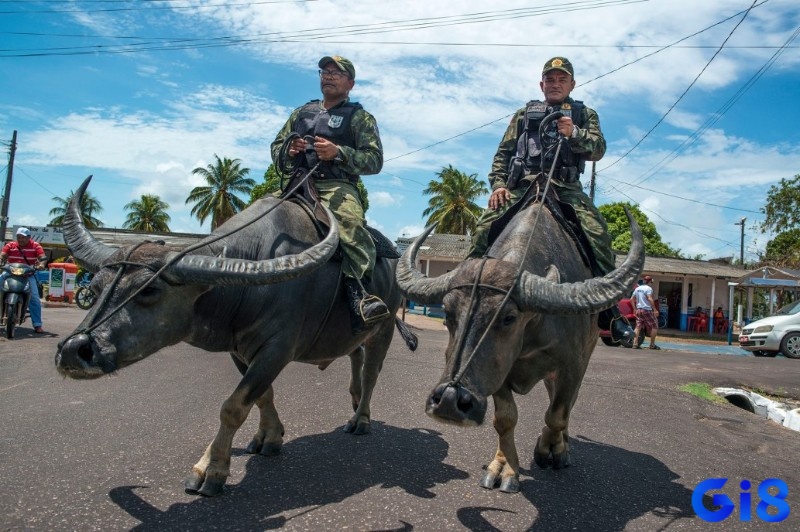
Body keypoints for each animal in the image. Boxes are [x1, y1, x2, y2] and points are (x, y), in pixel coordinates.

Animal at [54, 177, 418, 496]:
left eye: (149, 290)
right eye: (95, 288)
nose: (74, 350)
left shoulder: (276, 350)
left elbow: (233, 406)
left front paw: (210, 470)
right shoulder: (240, 349)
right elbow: (262, 395)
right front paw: (269, 437)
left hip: (384, 326)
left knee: (371, 372)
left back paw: (361, 418)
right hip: (354, 332)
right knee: (355, 356)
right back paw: (354, 400)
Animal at [396, 201, 644, 494]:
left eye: (508, 317)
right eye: (447, 312)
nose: (448, 399)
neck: (534, 326)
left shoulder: (573, 365)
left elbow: (557, 414)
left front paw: (550, 450)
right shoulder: (497, 371)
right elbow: (505, 419)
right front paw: (504, 467)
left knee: (566, 405)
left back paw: (562, 445)